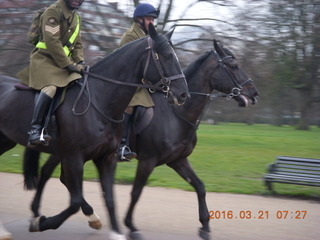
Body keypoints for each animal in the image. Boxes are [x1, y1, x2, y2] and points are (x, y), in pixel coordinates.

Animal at [0, 23, 189, 238]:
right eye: (167, 56)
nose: (183, 94)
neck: (100, 100)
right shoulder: (73, 158)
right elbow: (75, 201)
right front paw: (42, 222)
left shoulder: (105, 158)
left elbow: (109, 198)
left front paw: (116, 232)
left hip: (6, 141)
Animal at [21, 39, 258, 240]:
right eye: (233, 65)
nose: (254, 93)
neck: (176, 113)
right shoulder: (148, 161)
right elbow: (136, 192)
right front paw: (130, 226)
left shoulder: (178, 161)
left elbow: (199, 186)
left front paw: (205, 226)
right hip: (71, 153)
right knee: (53, 175)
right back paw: (42, 213)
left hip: (66, 152)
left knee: (55, 175)